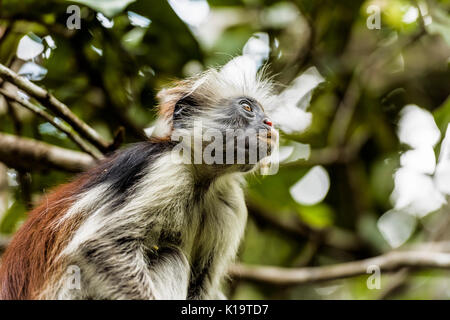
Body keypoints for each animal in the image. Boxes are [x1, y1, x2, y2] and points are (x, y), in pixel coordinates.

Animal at [0, 56, 278, 298]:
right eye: (247, 107)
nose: (269, 124)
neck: (204, 181)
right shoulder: (166, 170)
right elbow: (99, 245)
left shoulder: (229, 201)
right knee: (169, 254)